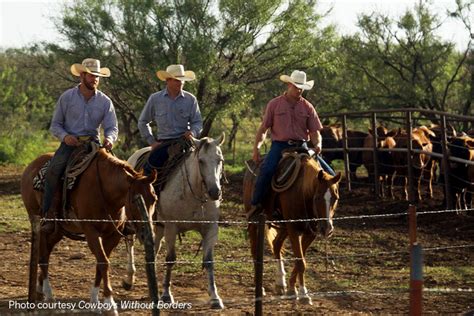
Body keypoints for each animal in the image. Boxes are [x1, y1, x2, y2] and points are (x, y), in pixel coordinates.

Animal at [20, 148, 157, 314]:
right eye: (133, 200)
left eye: (154, 199)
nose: (146, 233)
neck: (105, 191)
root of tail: (30, 167)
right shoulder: (91, 232)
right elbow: (104, 262)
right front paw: (109, 304)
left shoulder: (112, 235)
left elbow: (101, 263)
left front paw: (95, 300)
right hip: (37, 220)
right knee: (43, 255)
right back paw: (49, 293)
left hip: (58, 231)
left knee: (45, 251)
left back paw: (40, 289)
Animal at [125, 135, 225, 308]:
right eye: (201, 161)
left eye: (220, 160)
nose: (215, 192)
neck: (195, 195)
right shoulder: (172, 228)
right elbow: (170, 259)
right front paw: (166, 294)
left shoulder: (211, 229)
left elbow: (209, 261)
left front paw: (215, 297)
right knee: (130, 243)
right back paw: (130, 279)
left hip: (157, 226)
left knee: (154, 248)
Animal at [244, 154, 340, 304]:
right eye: (317, 197)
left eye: (335, 198)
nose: (327, 228)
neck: (302, 191)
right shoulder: (294, 230)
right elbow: (301, 262)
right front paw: (304, 294)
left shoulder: (309, 233)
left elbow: (300, 259)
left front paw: (291, 288)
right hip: (255, 222)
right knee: (255, 251)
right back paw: (260, 288)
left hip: (284, 227)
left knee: (276, 245)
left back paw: (280, 283)